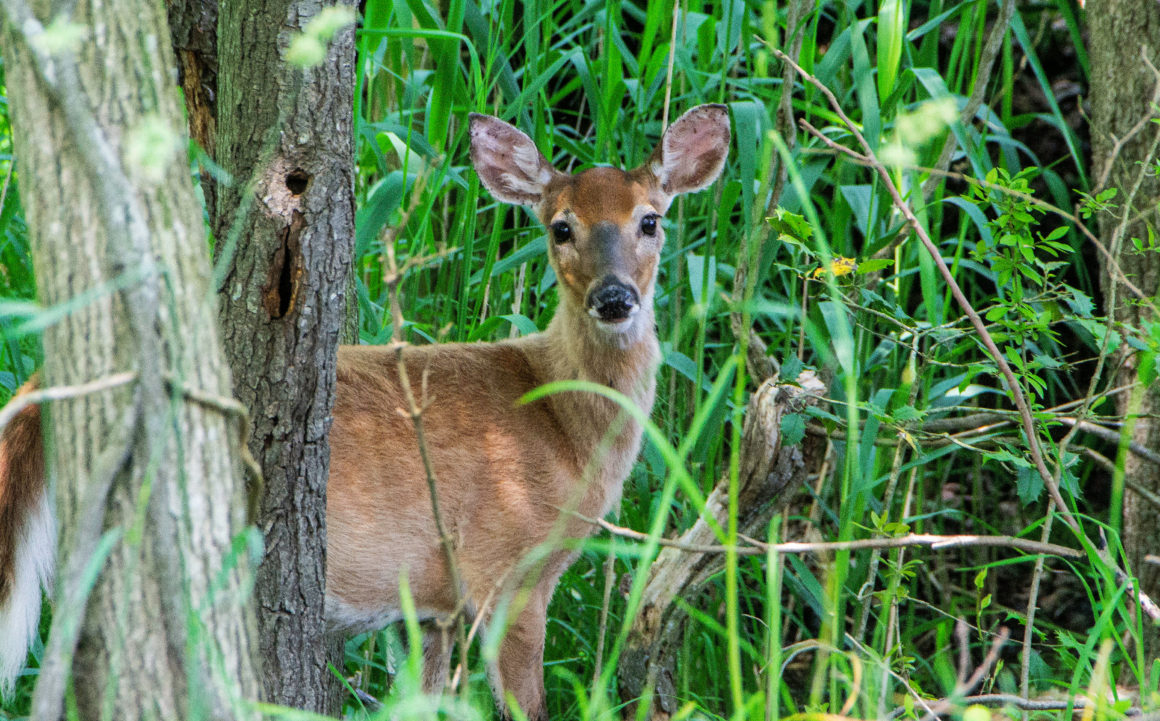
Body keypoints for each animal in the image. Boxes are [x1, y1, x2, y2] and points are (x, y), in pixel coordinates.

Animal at [0, 104, 723, 718]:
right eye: (560, 226)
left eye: (651, 219)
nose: (615, 297)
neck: (561, 425)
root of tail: (46, 385)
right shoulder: (506, 570)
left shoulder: (435, 607)